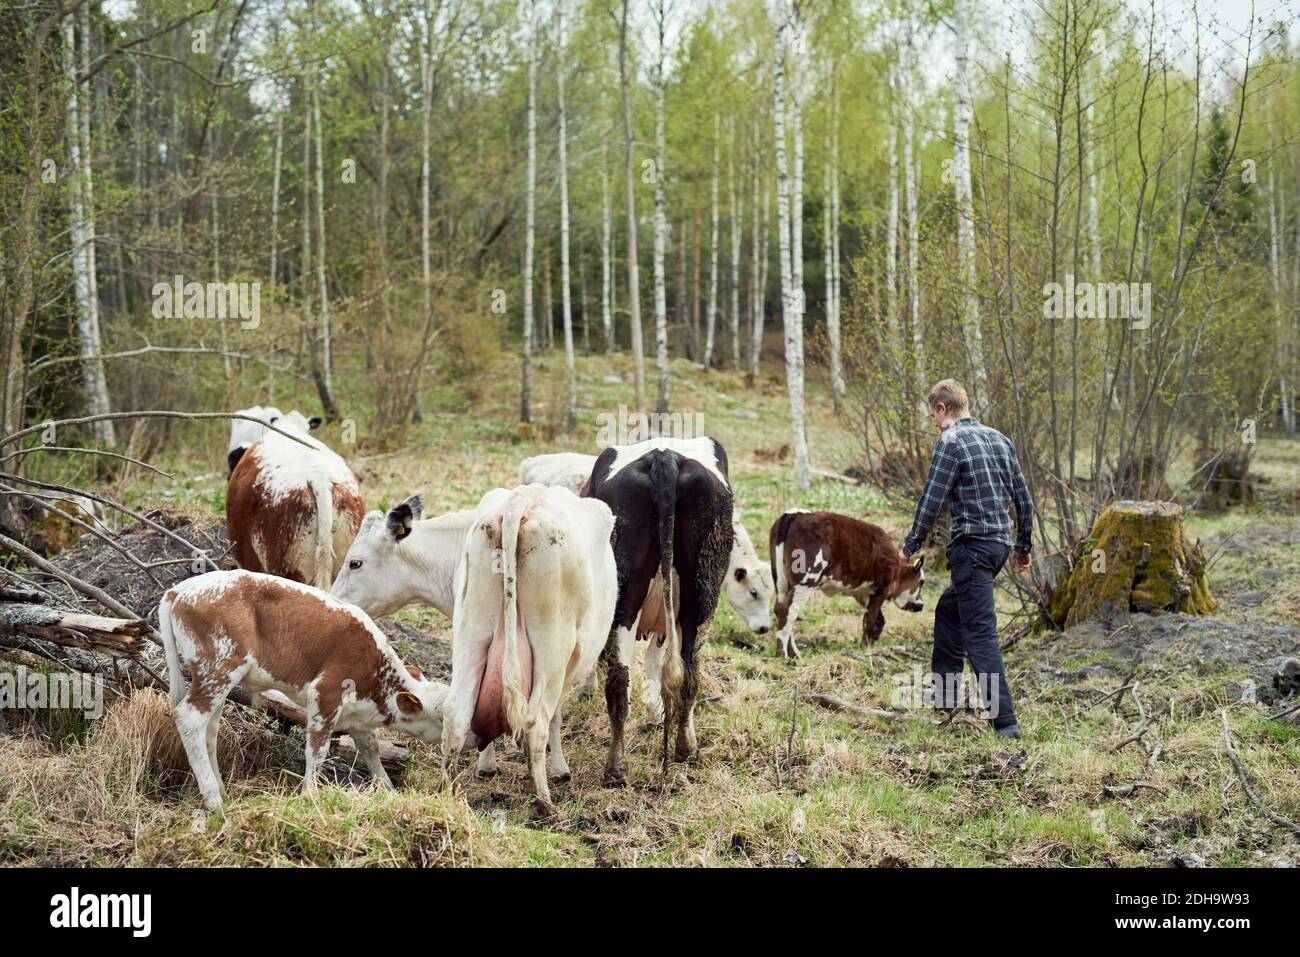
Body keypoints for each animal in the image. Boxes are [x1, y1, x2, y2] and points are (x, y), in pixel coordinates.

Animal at [159, 572, 447, 811]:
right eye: (443, 716)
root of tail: (180, 588)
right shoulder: (327, 693)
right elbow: (317, 750)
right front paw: (310, 795)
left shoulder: (356, 716)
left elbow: (371, 747)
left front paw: (388, 790)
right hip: (220, 667)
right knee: (190, 719)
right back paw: (213, 798)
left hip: (219, 678)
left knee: (210, 729)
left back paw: (221, 787)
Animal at [587, 436, 738, 780]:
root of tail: (664, 457)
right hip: (700, 594)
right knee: (687, 673)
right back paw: (684, 750)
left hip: (629, 593)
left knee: (623, 679)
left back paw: (618, 767)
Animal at [769, 509, 925, 657]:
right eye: (922, 582)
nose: (921, 605)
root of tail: (795, 515)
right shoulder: (881, 589)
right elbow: (871, 620)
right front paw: (864, 648)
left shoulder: (862, 592)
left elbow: (876, 619)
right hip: (805, 581)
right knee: (788, 611)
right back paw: (783, 656)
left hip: (781, 581)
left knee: (780, 609)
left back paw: (794, 655)